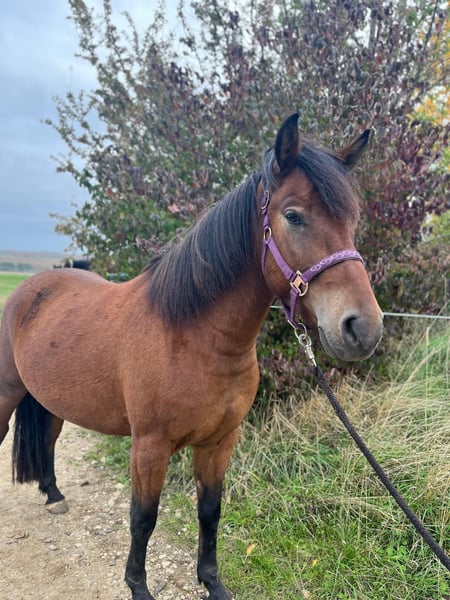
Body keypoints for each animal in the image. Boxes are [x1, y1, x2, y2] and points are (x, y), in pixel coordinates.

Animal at [0, 114, 383, 600]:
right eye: (293, 215)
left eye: (352, 219)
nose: (362, 328)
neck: (194, 338)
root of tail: (31, 289)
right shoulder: (149, 446)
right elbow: (143, 518)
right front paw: (138, 586)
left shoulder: (220, 441)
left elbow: (210, 511)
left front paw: (212, 582)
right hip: (7, 392)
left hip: (50, 399)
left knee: (48, 438)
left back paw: (53, 495)